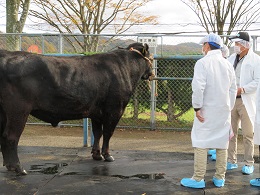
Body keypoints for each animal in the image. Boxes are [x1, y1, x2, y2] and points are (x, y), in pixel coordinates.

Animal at [0, 42, 154, 175]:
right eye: (152, 58)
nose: (152, 74)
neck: (126, 68)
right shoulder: (115, 110)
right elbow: (108, 133)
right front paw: (107, 155)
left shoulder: (97, 113)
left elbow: (97, 133)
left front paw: (96, 155)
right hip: (18, 110)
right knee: (11, 137)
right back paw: (18, 168)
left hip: (5, 112)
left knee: (3, 135)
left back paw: (8, 165)